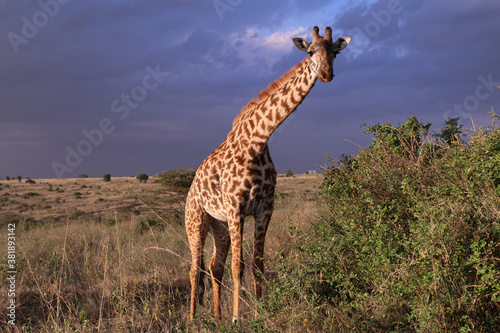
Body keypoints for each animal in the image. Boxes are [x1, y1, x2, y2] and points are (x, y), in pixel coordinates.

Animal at [185, 26, 352, 322]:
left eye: (336, 52)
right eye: (310, 52)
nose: (326, 74)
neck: (259, 140)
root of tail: (191, 189)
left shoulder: (264, 209)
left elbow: (257, 264)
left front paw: (260, 313)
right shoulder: (237, 209)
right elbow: (238, 266)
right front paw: (238, 318)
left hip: (219, 224)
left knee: (215, 266)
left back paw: (216, 317)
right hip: (196, 221)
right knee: (195, 269)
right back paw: (193, 319)